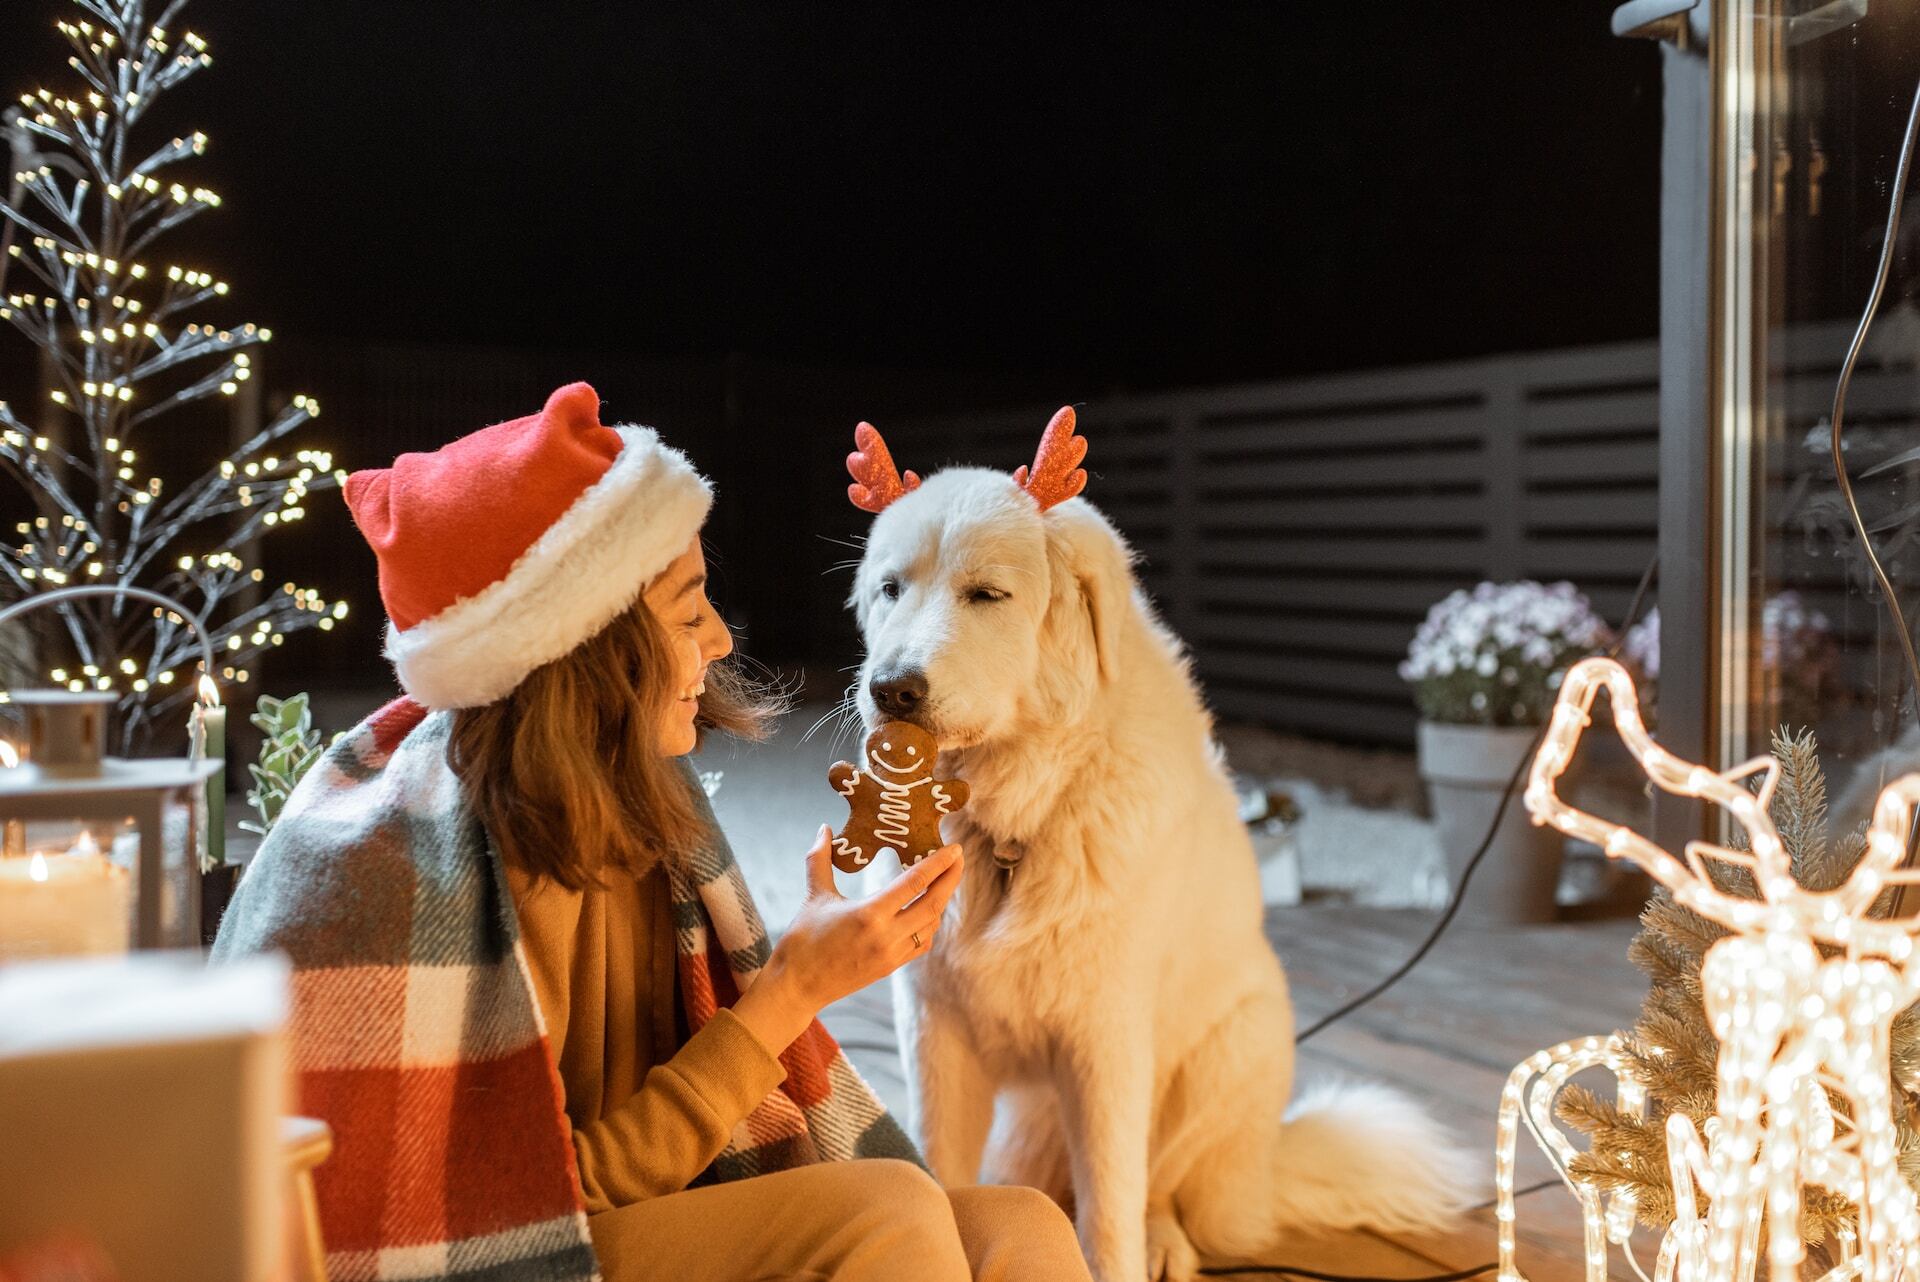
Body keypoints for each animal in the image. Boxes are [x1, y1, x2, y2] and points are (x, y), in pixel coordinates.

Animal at [837, 410, 1466, 1282]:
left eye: (987, 595)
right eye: (891, 589)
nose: (890, 689)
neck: (1012, 822)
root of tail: (1262, 1175)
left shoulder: (1105, 1040)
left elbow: (1110, 1204)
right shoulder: (934, 1028)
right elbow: (941, 1166)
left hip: (1235, 1043)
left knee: (1159, 1187)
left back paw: (1168, 1238)